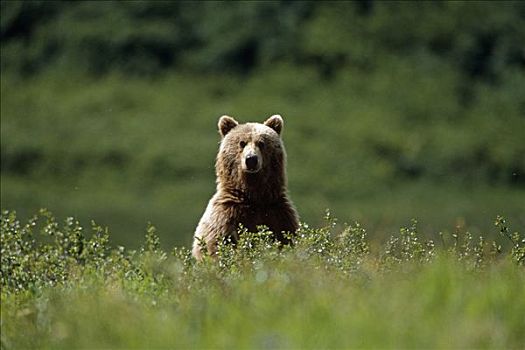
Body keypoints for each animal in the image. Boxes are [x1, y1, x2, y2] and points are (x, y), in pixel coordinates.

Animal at [191, 115, 298, 260]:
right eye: (241, 142)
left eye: (261, 143)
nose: (251, 159)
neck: (252, 195)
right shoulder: (226, 216)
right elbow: (216, 244)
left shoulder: (278, 214)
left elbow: (286, 238)